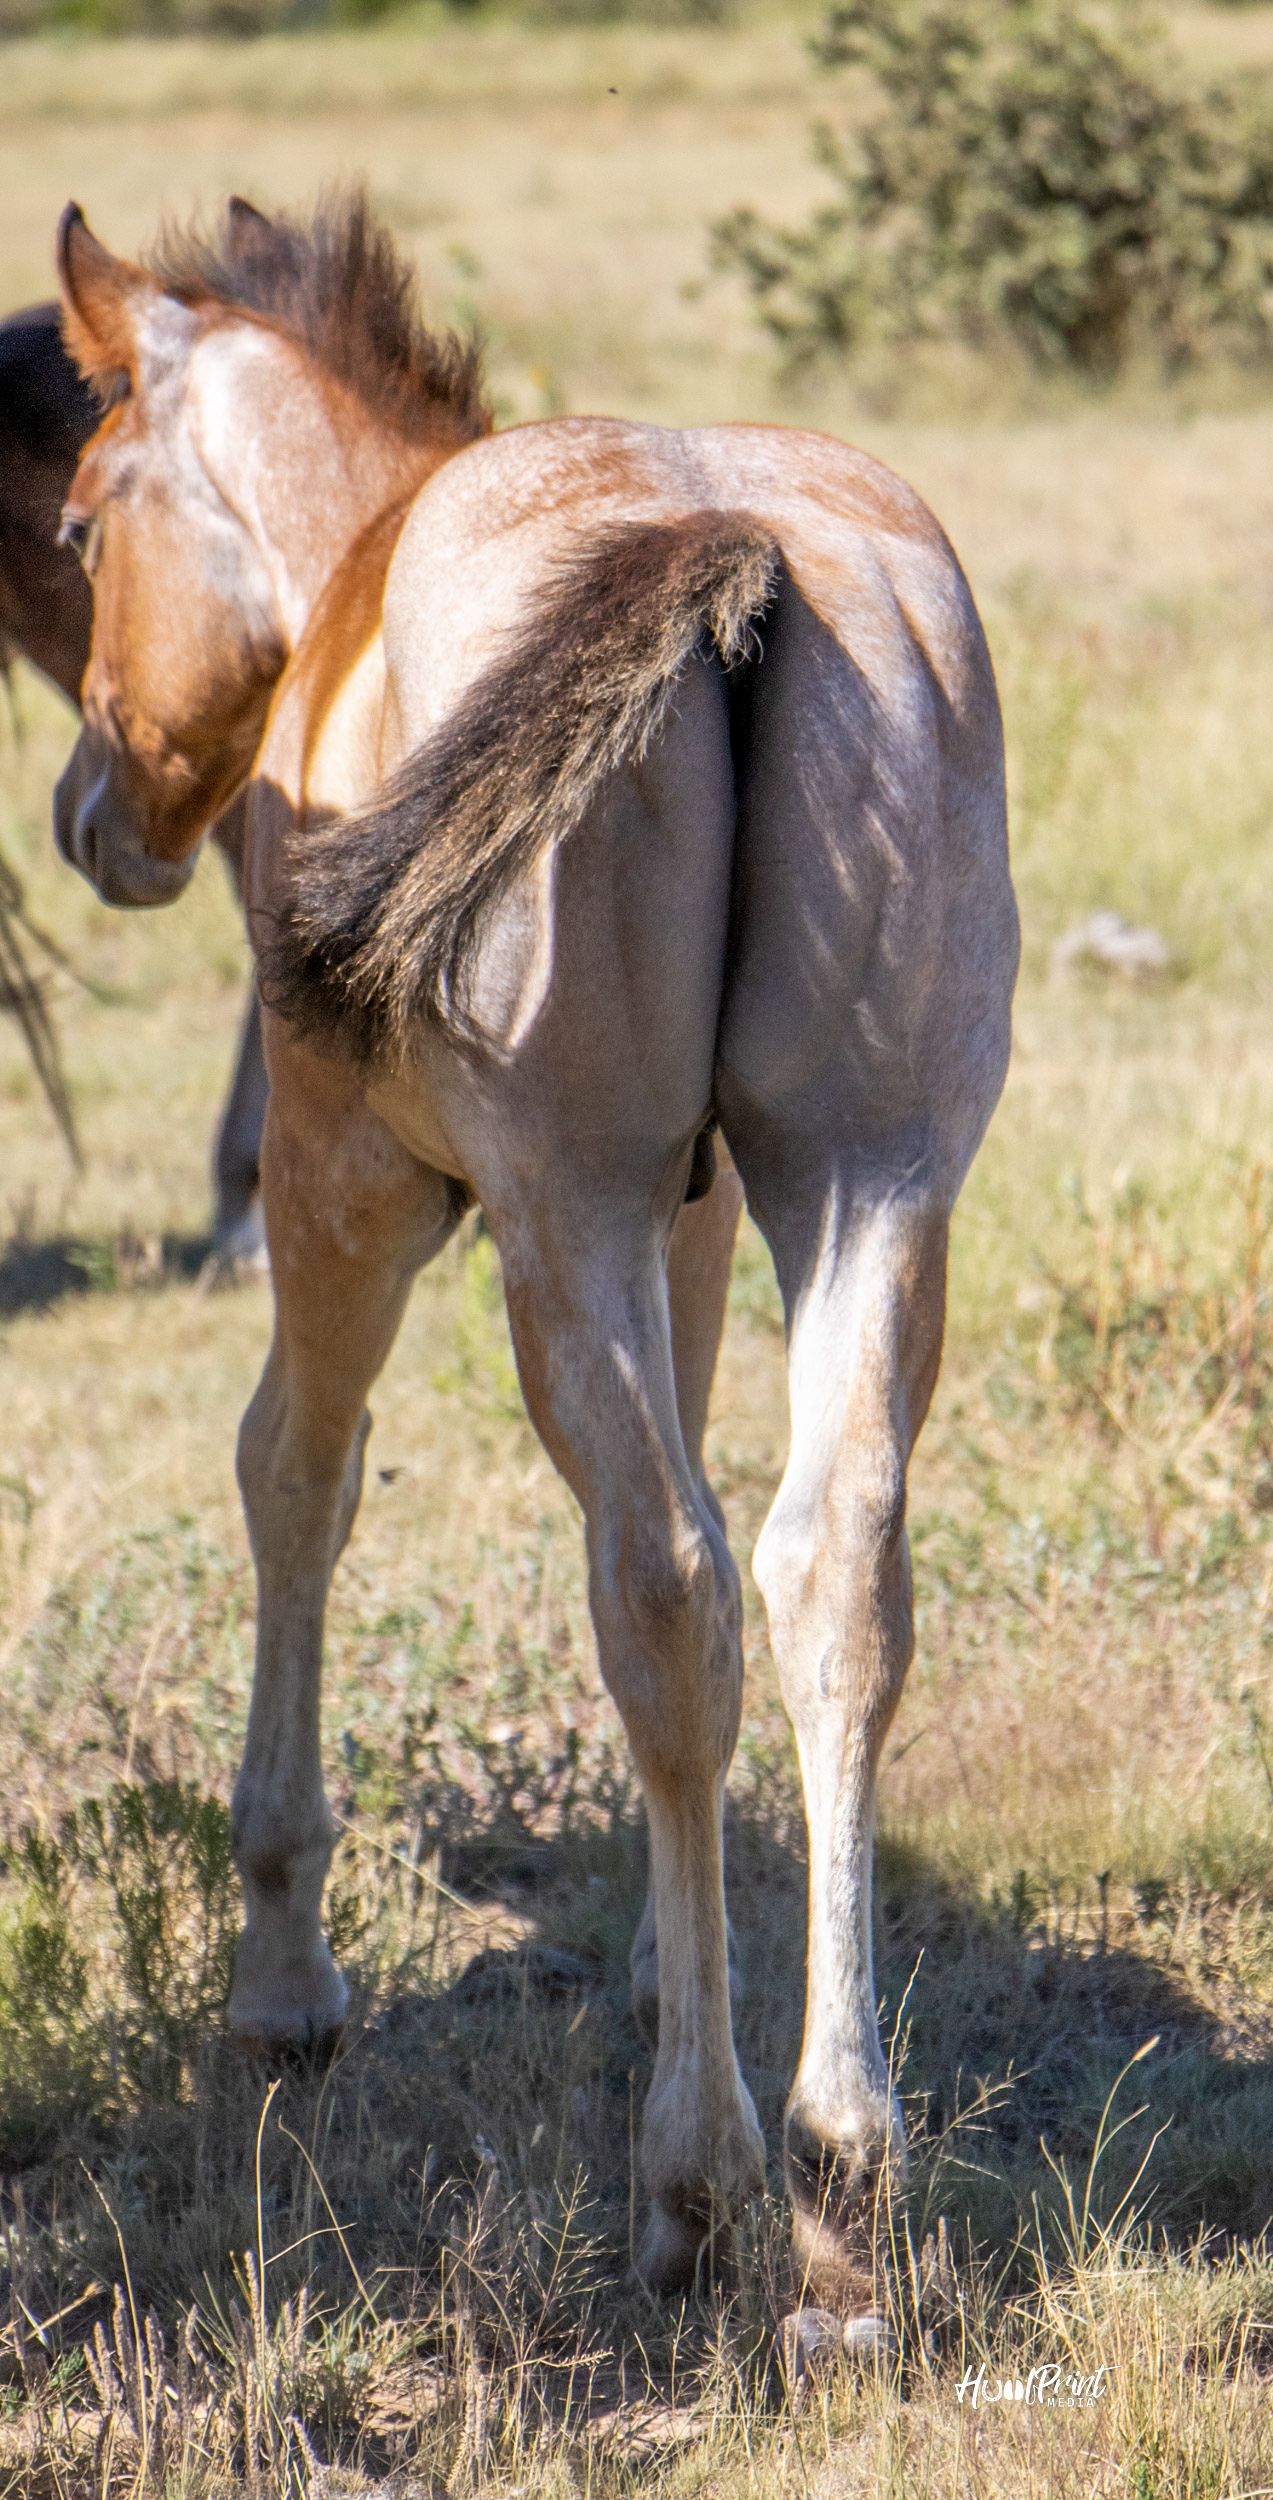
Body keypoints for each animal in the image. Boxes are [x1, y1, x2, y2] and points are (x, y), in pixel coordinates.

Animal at [52, 190, 1018, 2346]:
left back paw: (695, 2185)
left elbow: (294, 1480)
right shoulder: (701, 1215)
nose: (89, 820)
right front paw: (674, 1965)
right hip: (869, 1188)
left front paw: (282, 1970)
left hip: (546, 1212)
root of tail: (722, 544)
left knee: (661, 1585)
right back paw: (837, 2156)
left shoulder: (346, 1185)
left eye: (74, 524)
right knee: (823, 1576)